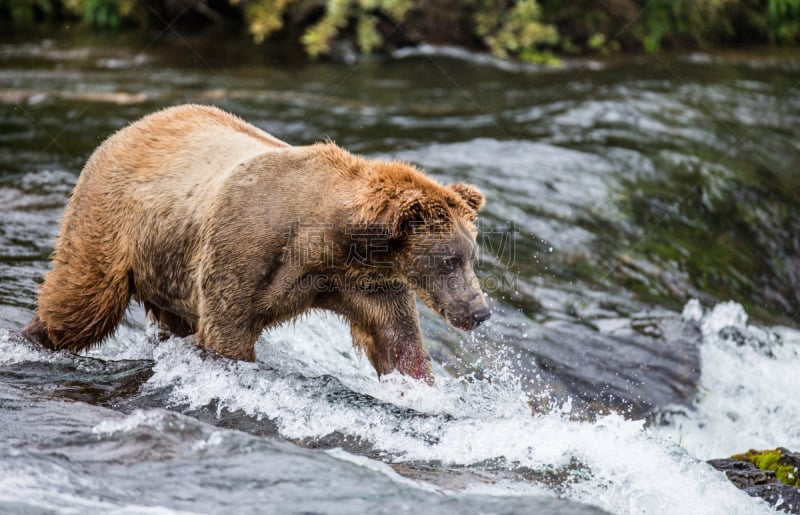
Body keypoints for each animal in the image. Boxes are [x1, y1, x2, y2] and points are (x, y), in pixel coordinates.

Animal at [23, 104, 488, 382]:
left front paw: (420, 386)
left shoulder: (364, 279)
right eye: (449, 259)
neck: (327, 238)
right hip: (111, 221)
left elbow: (396, 337)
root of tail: (132, 126)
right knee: (81, 303)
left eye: (471, 256)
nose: (480, 311)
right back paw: (35, 338)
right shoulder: (244, 250)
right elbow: (228, 330)